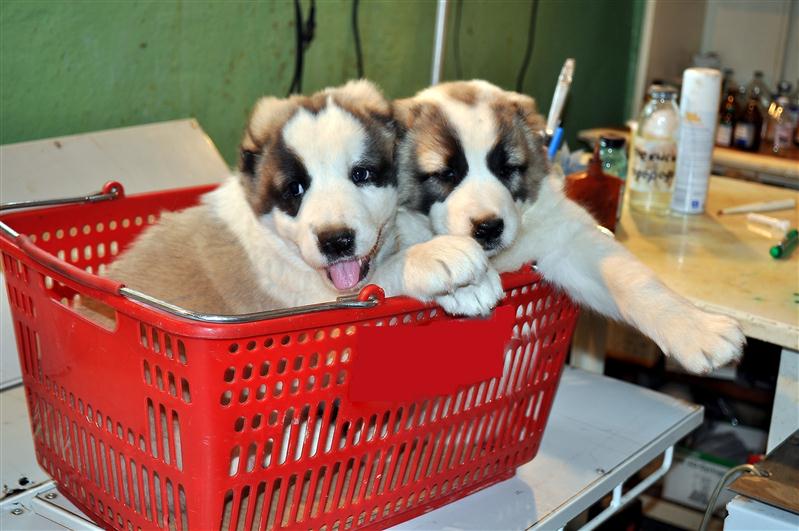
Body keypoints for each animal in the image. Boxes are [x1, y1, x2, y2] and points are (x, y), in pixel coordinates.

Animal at [86, 80, 501, 318]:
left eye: (362, 174)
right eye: (295, 190)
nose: (336, 242)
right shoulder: (313, 301)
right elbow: (384, 277)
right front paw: (445, 261)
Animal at [392, 80, 744, 374]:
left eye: (508, 169)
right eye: (445, 174)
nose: (489, 228)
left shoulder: (567, 242)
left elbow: (632, 279)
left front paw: (697, 328)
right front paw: (464, 280)